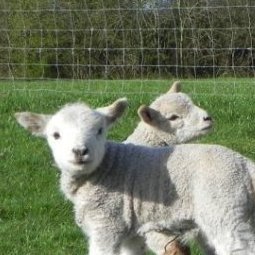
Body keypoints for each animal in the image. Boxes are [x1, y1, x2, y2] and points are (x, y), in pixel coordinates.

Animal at [14, 99, 255, 255]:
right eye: (55, 135)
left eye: (100, 130)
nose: (80, 151)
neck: (107, 168)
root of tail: (245, 164)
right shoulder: (130, 232)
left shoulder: (107, 223)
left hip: (225, 208)